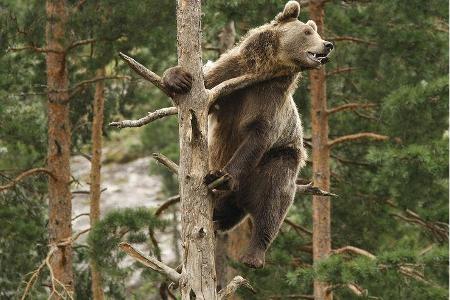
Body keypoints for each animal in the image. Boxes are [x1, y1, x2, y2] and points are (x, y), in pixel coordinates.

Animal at [163, 1, 332, 268]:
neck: (261, 70)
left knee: (272, 202)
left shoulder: (268, 98)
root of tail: (243, 198)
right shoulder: (230, 77)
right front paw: (177, 78)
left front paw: (221, 175)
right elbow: (201, 88)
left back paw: (253, 256)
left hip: (278, 161)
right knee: (225, 211)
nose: (327, 45)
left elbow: (257, 135)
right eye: (308, 32)